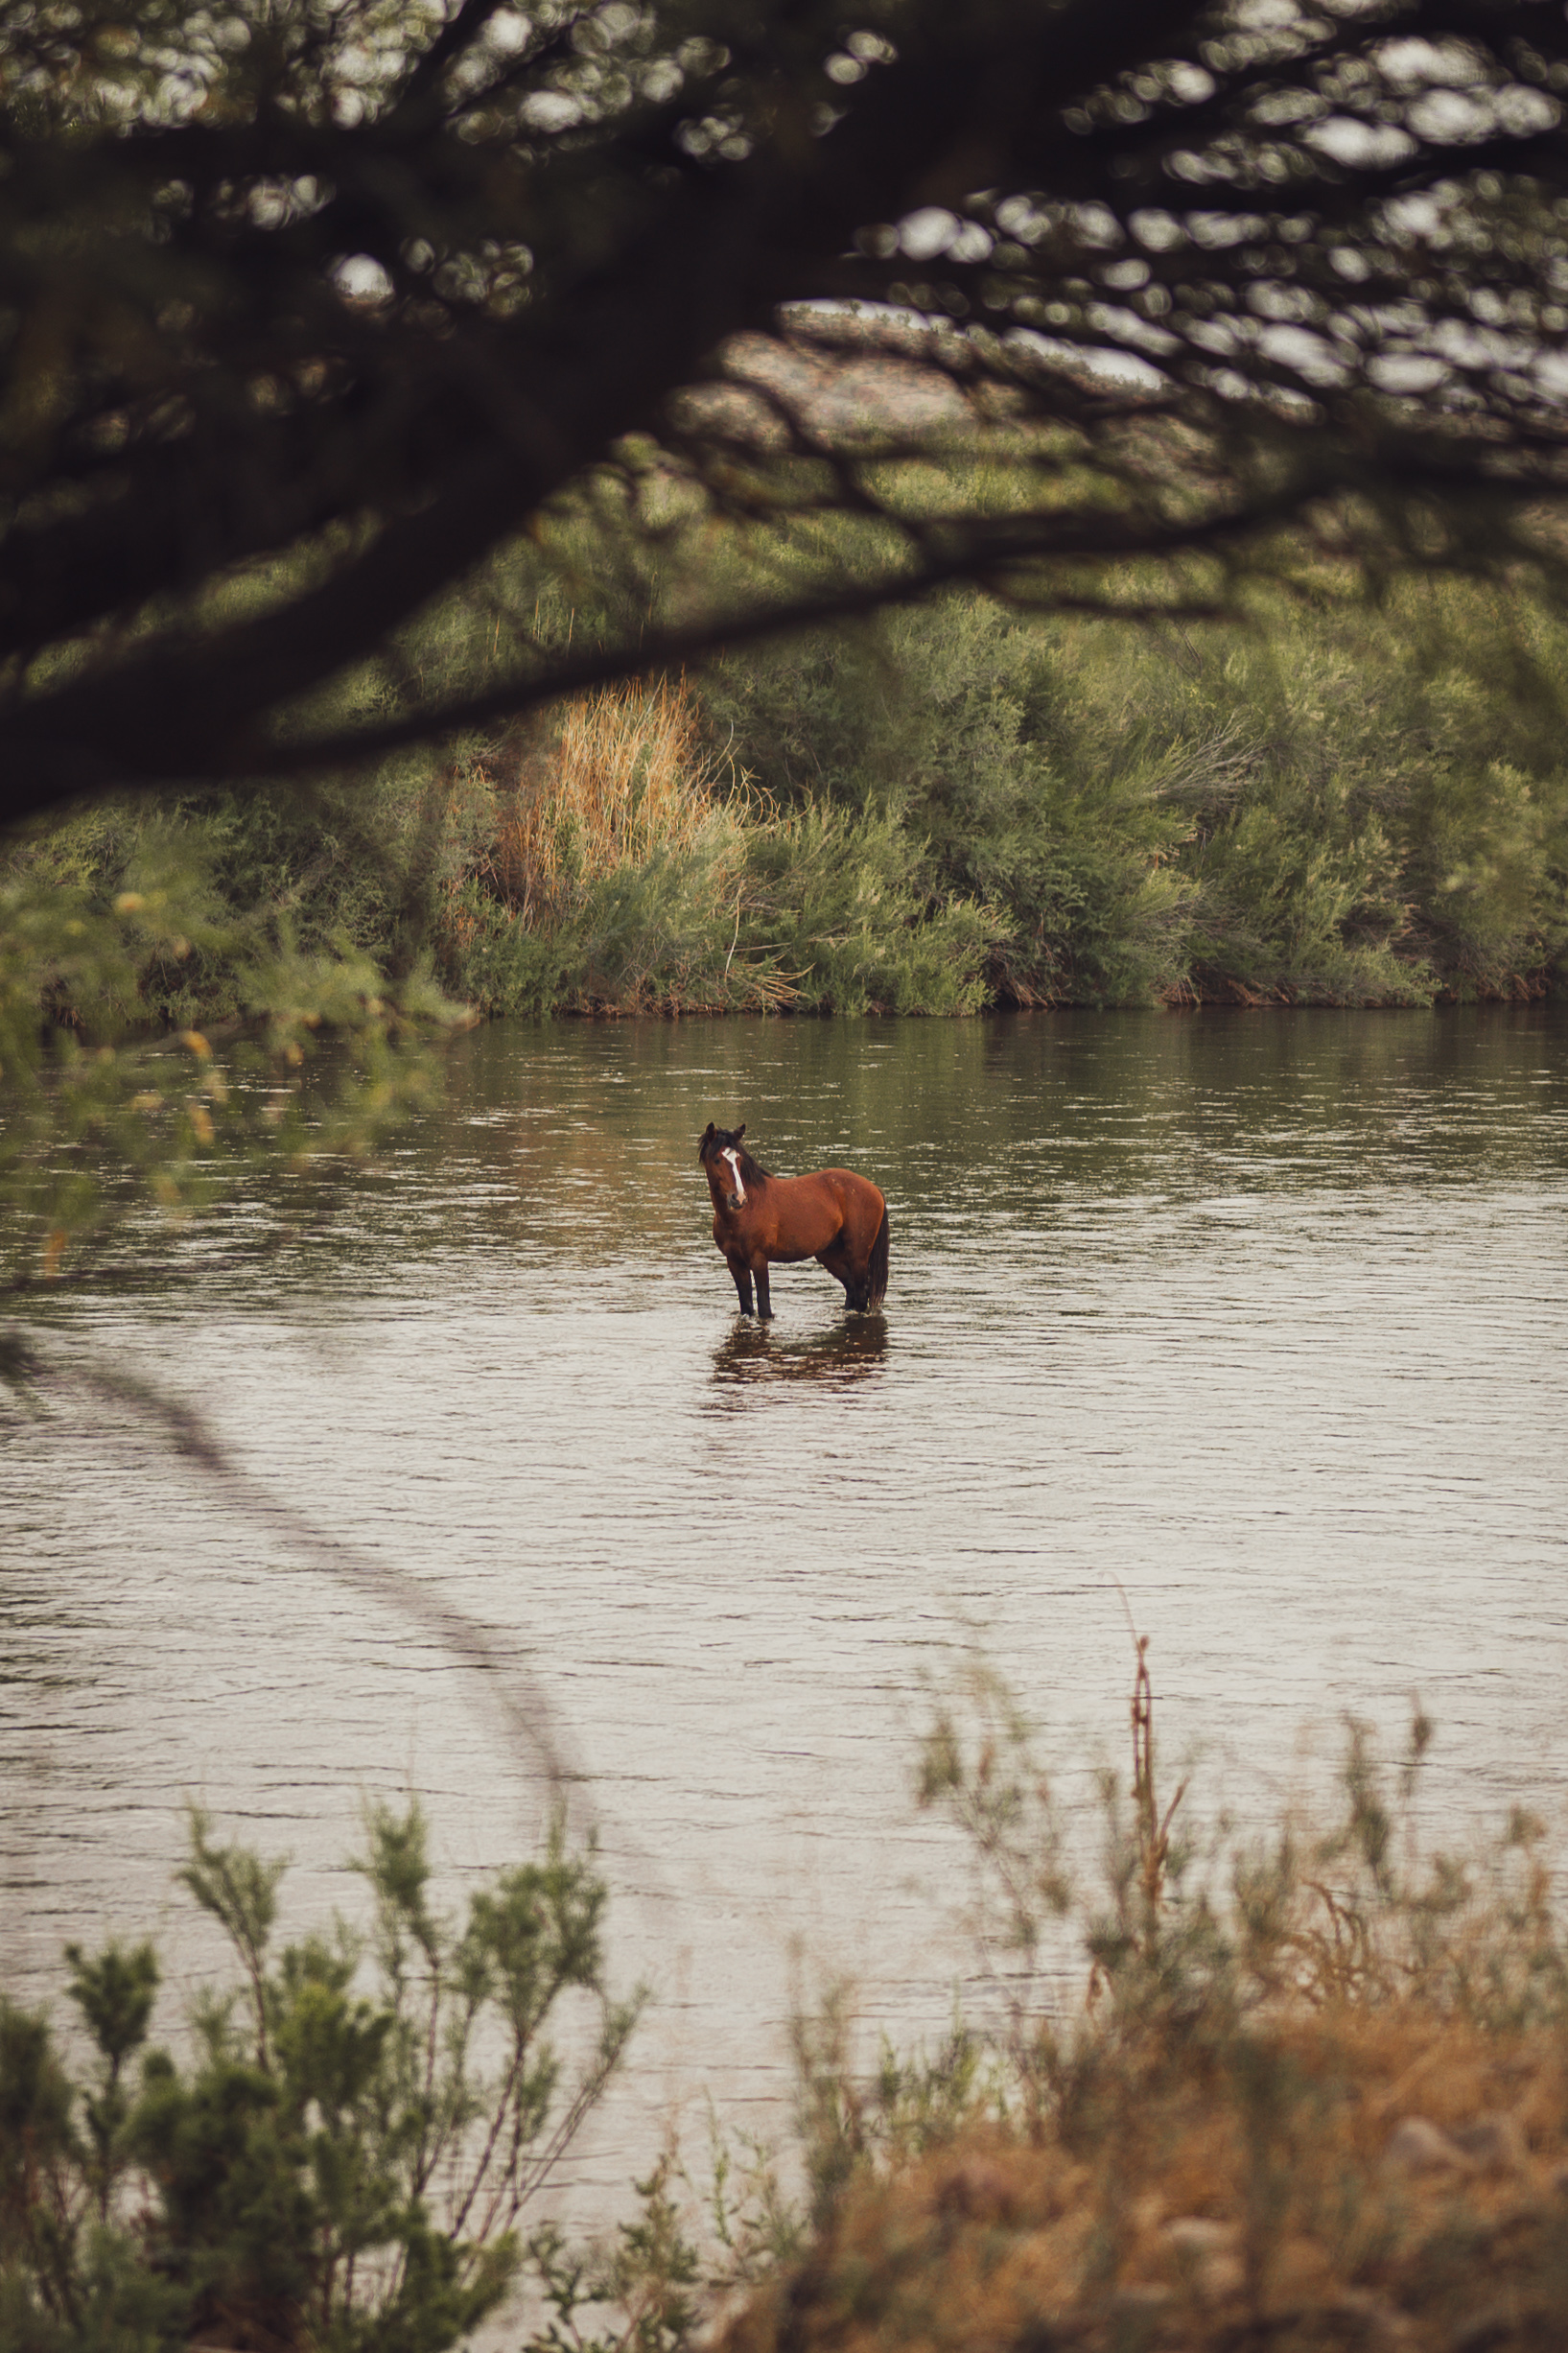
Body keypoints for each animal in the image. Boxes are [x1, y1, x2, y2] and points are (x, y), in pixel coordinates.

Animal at [698, 1122, 889, 1321]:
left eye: (739, 1159)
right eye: (717, 1160)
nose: (739, 1198)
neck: (742, 1216)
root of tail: (874, 1189)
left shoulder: (759, 1260)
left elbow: (764, 1309)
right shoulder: (735, 1263)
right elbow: (747, 1307)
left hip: (858, 1257)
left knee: (861, 1294)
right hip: (830, 1256)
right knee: (852, 1289)